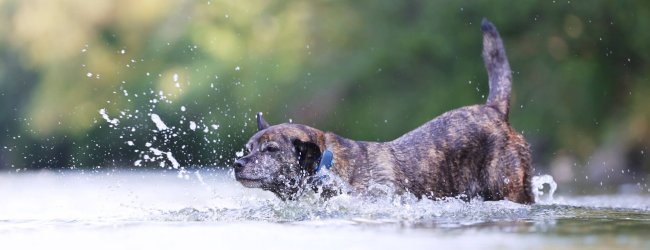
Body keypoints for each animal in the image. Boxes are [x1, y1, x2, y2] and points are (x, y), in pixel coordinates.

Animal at [233, 19, 532, 203]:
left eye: (271, 150)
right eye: (247, 149)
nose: (237, 165)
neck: (326, 168)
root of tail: (493, 109)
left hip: (511, 189)